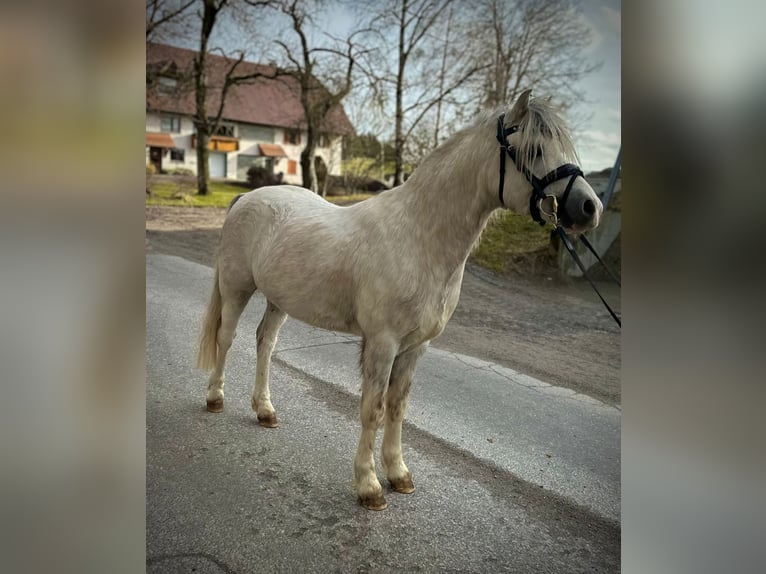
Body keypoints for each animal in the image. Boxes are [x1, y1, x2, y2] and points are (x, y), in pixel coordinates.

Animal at [195, 91, 604, 512]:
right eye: (534, 149)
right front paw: (369, 486)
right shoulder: (382, 343)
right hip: (236, 288)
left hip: (280, 299)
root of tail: (247, 197)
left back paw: (265, 410)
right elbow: (372, 409)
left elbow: (397, 407)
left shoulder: (415, 347)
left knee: (265, 342)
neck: (418, 237)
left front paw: (398, 474)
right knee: (226, 338)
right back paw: (215, 397)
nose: (590, 208)